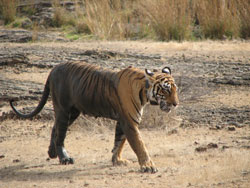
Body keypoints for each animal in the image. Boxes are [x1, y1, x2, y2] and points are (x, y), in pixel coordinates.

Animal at [9, 61, 178, 173]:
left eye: (175, 90)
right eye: (166, 90)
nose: (176, 104)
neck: (144, 91)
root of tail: (53, 69)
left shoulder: (123, 120)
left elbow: (119, 142)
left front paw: (117, 160)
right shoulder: (129, 121)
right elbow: (139, 144)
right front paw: (148, 166)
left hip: (73, 112)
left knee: (54, 128)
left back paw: (52, 153)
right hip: (64, 109)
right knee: (60, 134)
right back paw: (64, 158)